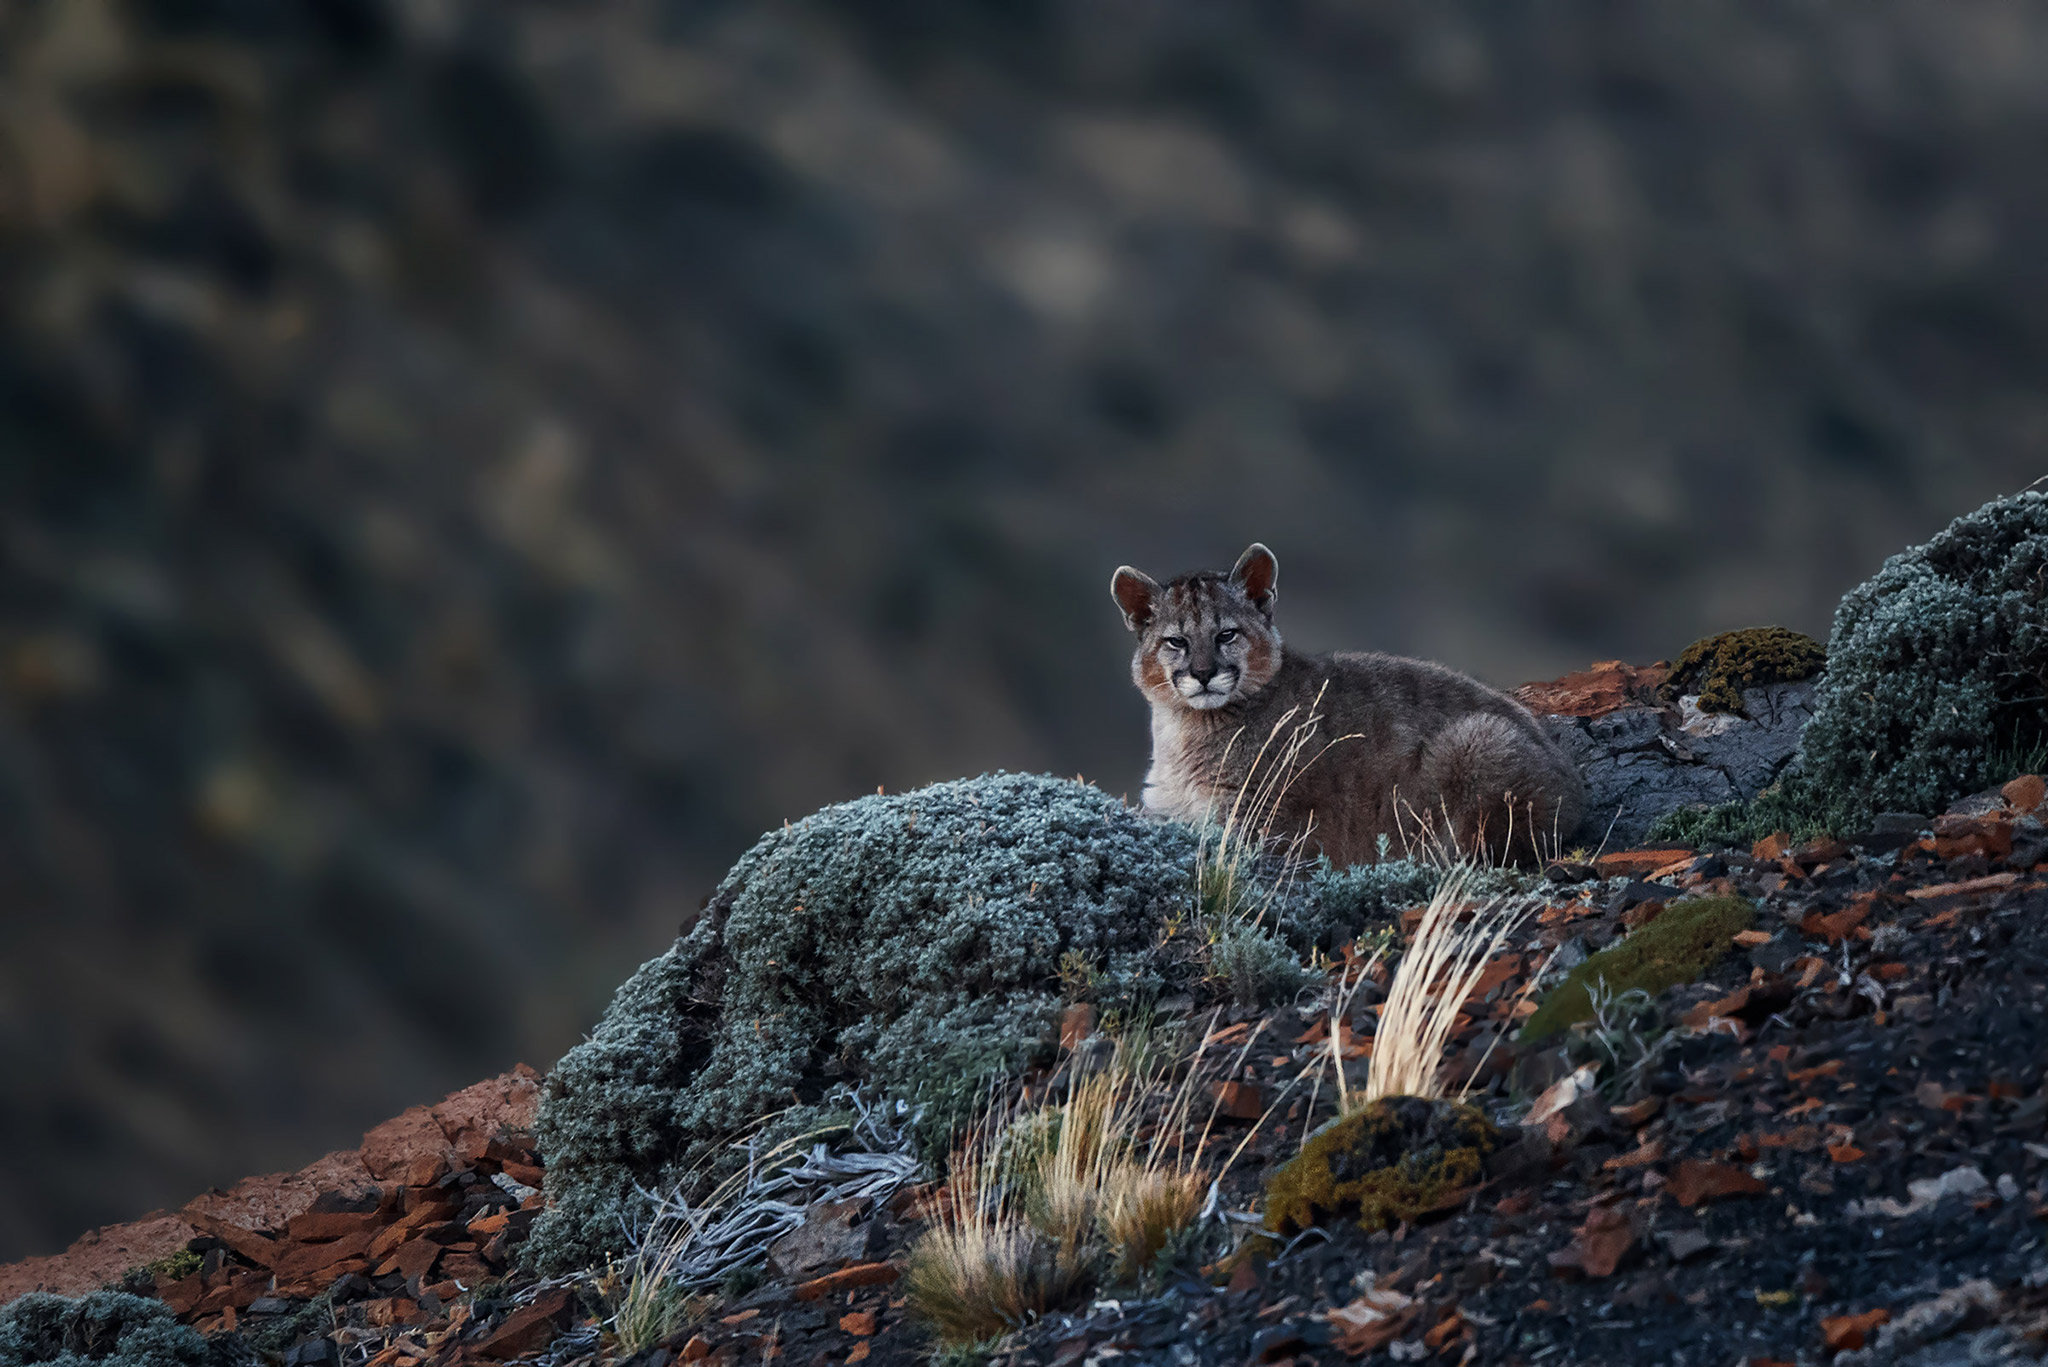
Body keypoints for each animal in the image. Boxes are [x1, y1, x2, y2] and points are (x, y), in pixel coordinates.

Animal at [1122, 545, 1581, 864]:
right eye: (1176, 641)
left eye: (1227, 635)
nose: (1202, 674)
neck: (1182, 728)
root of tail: (1572, 781)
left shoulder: (1252, 817)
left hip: (1478, 740)